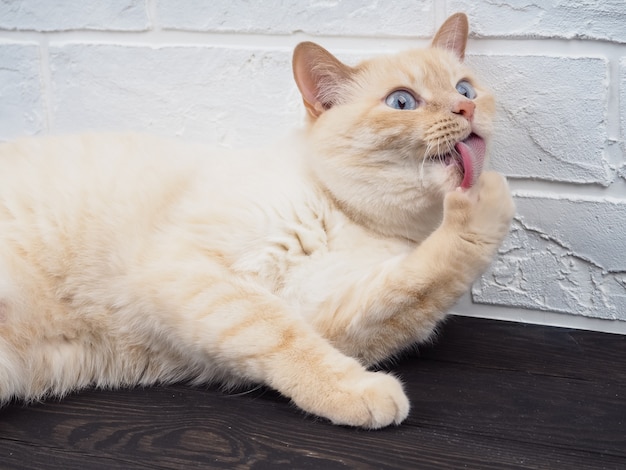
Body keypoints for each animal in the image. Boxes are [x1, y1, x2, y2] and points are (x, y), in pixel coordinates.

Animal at [0, 13, 512, 430]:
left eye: (465, 89)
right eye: (402, 102)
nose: (466, 109)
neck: (344, 215)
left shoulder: (330, 310)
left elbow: (414, 288)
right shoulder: (187, 272)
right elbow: (278, 333)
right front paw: (364, 392)